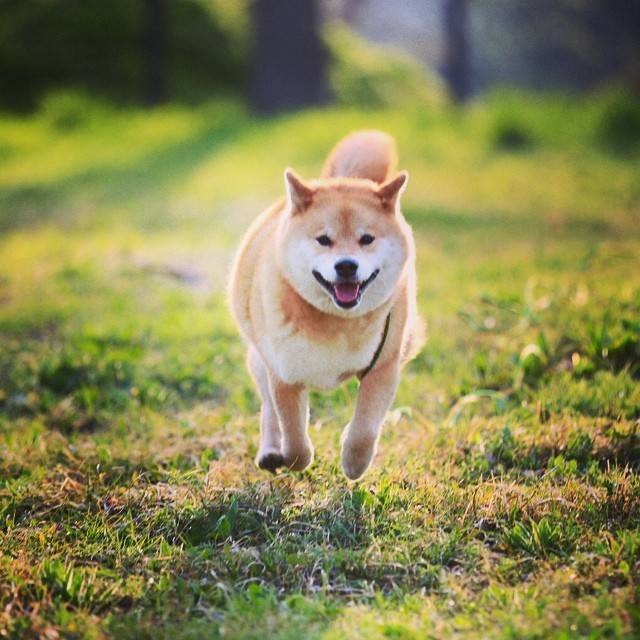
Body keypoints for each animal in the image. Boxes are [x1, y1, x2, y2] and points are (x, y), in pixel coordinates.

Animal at [228, 130, 422, 478]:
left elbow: (365, 429)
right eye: (323, 240)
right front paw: (295, 459)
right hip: (260, 360)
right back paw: (270, 450)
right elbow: (294, 437)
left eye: (367, 239)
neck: (336, 322)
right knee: (268, 410)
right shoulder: (284, 376)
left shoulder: (383, 367)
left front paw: (354, 461)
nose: (346, 266)